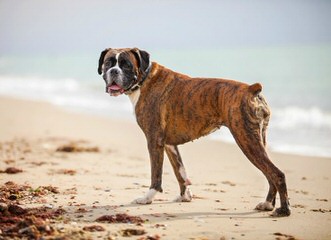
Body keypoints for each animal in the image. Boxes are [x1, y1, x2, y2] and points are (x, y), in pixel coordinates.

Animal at [98, 47, 290, 217]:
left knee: (276, 173)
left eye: (127, 65)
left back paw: (283, 210)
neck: (144, 79)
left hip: (246, 140)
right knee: (269, 174)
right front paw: (185, 196)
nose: (114, 71)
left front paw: (148, 198)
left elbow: (156, 175)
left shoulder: (154, 141)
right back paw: (267, 204)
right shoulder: (169, 144)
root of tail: (251, 88)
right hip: (258, 140)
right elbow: (180, 171)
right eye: (108, 63)